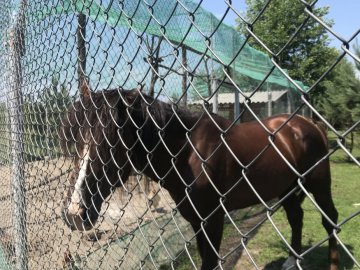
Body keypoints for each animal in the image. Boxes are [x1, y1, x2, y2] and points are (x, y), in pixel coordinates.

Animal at [60, 87, 338, 268]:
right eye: (75, 142)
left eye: (111, 143)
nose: (74, 214)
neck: (187, 154)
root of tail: (308, 124)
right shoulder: (196, 220)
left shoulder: (213, 219)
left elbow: (210, 261)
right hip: (287, 187)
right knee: (296, 217)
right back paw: (292, 260)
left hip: (319, 184)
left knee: (330, 219)